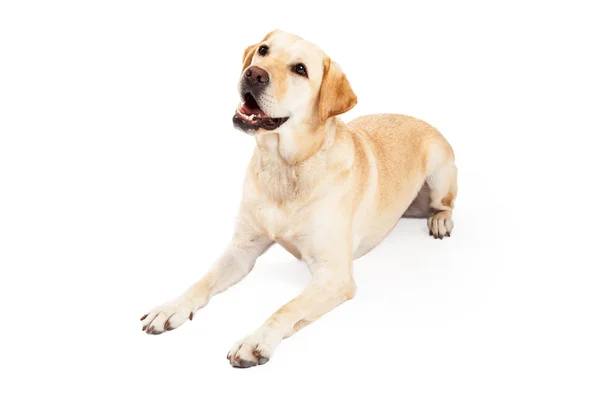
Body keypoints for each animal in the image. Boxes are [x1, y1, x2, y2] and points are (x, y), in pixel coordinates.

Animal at [142, 29, 460, 368]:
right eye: (264, 50)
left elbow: (288, 308)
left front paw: (256, 340)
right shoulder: (242, 249)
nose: (253, 74)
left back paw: (440, 220)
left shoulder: (334, 276)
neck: (284, 167)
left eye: (300, 69)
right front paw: (171, 307)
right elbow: (203, 280)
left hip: (440, 171)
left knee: (444, 204)